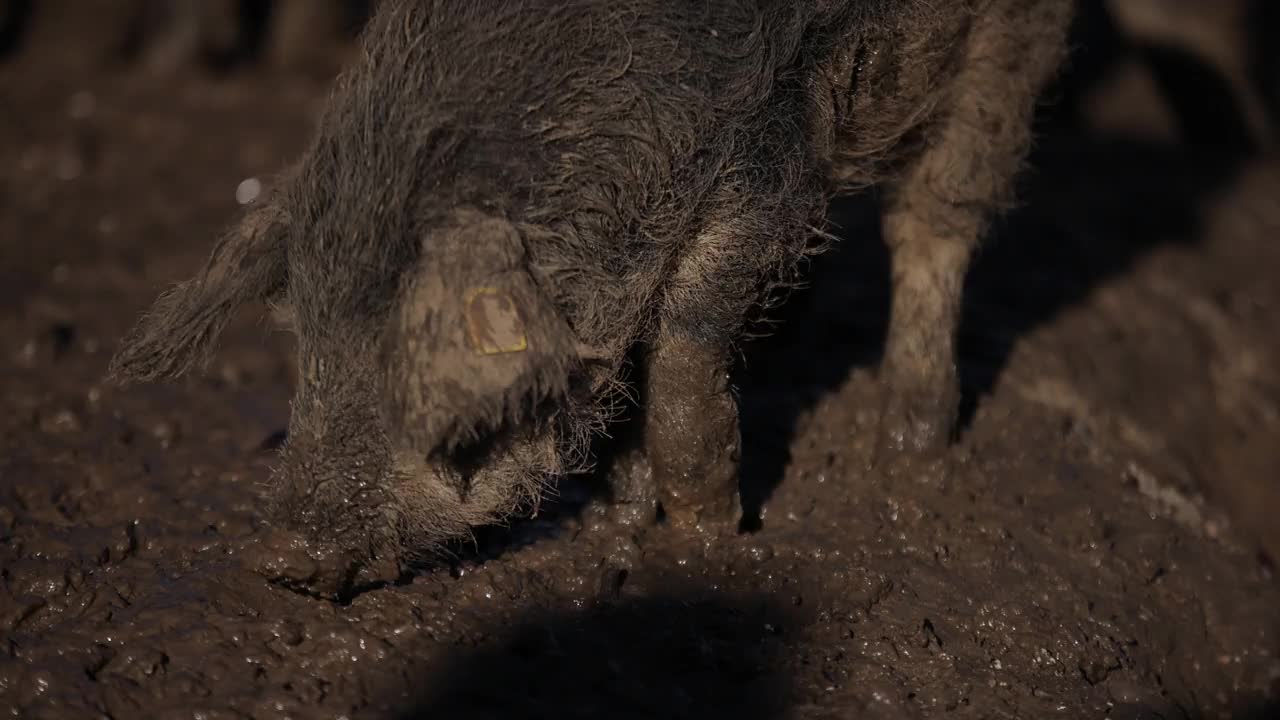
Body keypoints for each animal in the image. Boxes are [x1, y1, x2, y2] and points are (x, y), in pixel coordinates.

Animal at [107, 1, 1070, 594]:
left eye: (417, 372)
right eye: (306, 347)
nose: (276, 556)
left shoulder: (770, 157)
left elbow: (684, 350)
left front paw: (705, 541)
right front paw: (617, 519)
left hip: (1008, 39)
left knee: (939, 213)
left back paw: (908, 451)